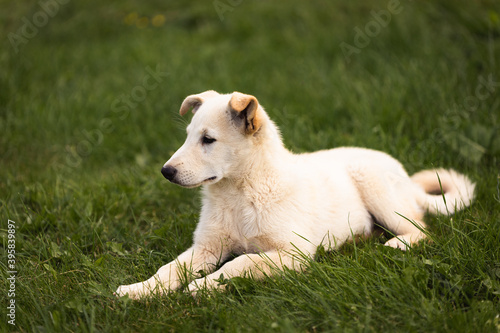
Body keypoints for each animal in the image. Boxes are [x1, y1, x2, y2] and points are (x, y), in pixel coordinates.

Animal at [115, 89, 474, 296]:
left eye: (208, 140)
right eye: (189, 136)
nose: (166, 172)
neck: (240, 194)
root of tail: (408, 180)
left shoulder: (292, 253)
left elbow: (240, 263)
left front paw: (204, 286)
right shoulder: (205, 247)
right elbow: (170, 268)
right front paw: (140, 289)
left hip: (378, 190)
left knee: (422, 229)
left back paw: (398, 244)